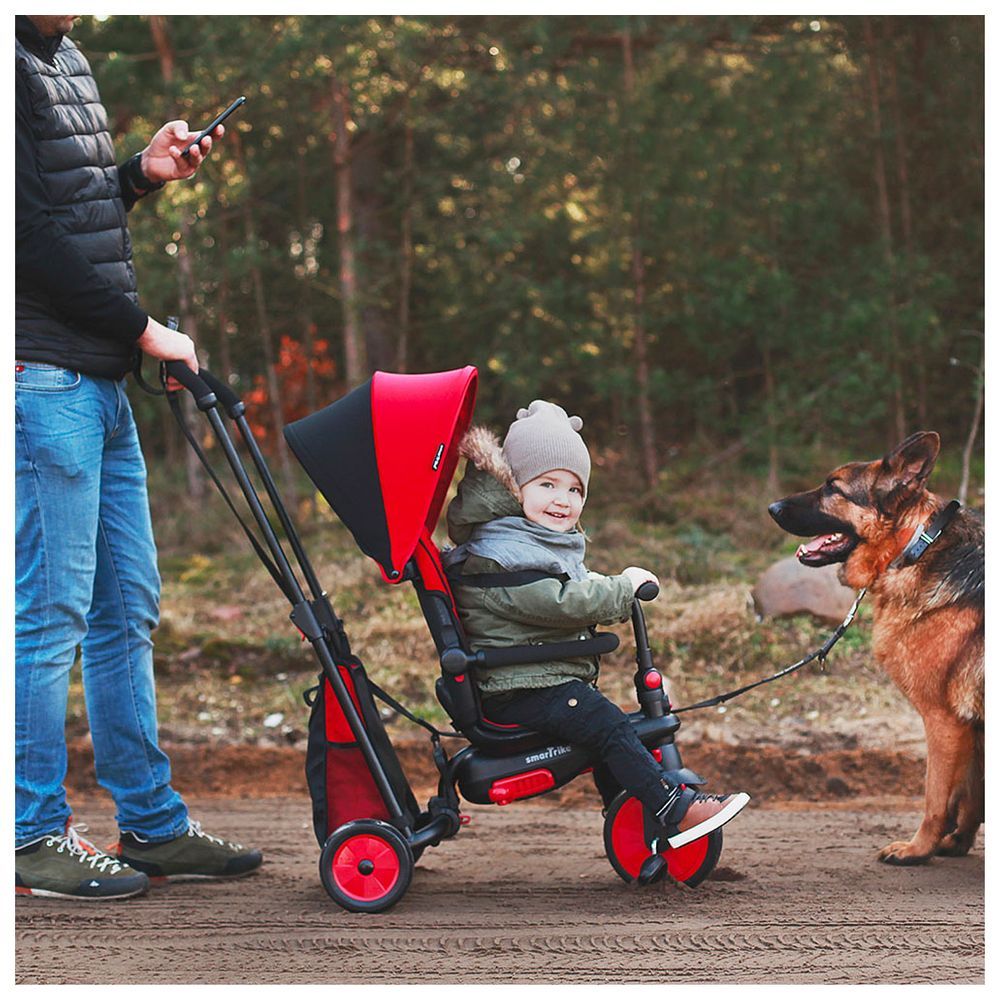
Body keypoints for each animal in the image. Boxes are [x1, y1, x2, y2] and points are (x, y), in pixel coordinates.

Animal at [768, 434, 980, 864]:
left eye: (833, 488)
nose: (772, 508)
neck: (915, 544)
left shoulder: (945, 721)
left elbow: (937, 797)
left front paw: (918, 849)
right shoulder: (972, 728)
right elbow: (971, 795)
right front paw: (956, 843)